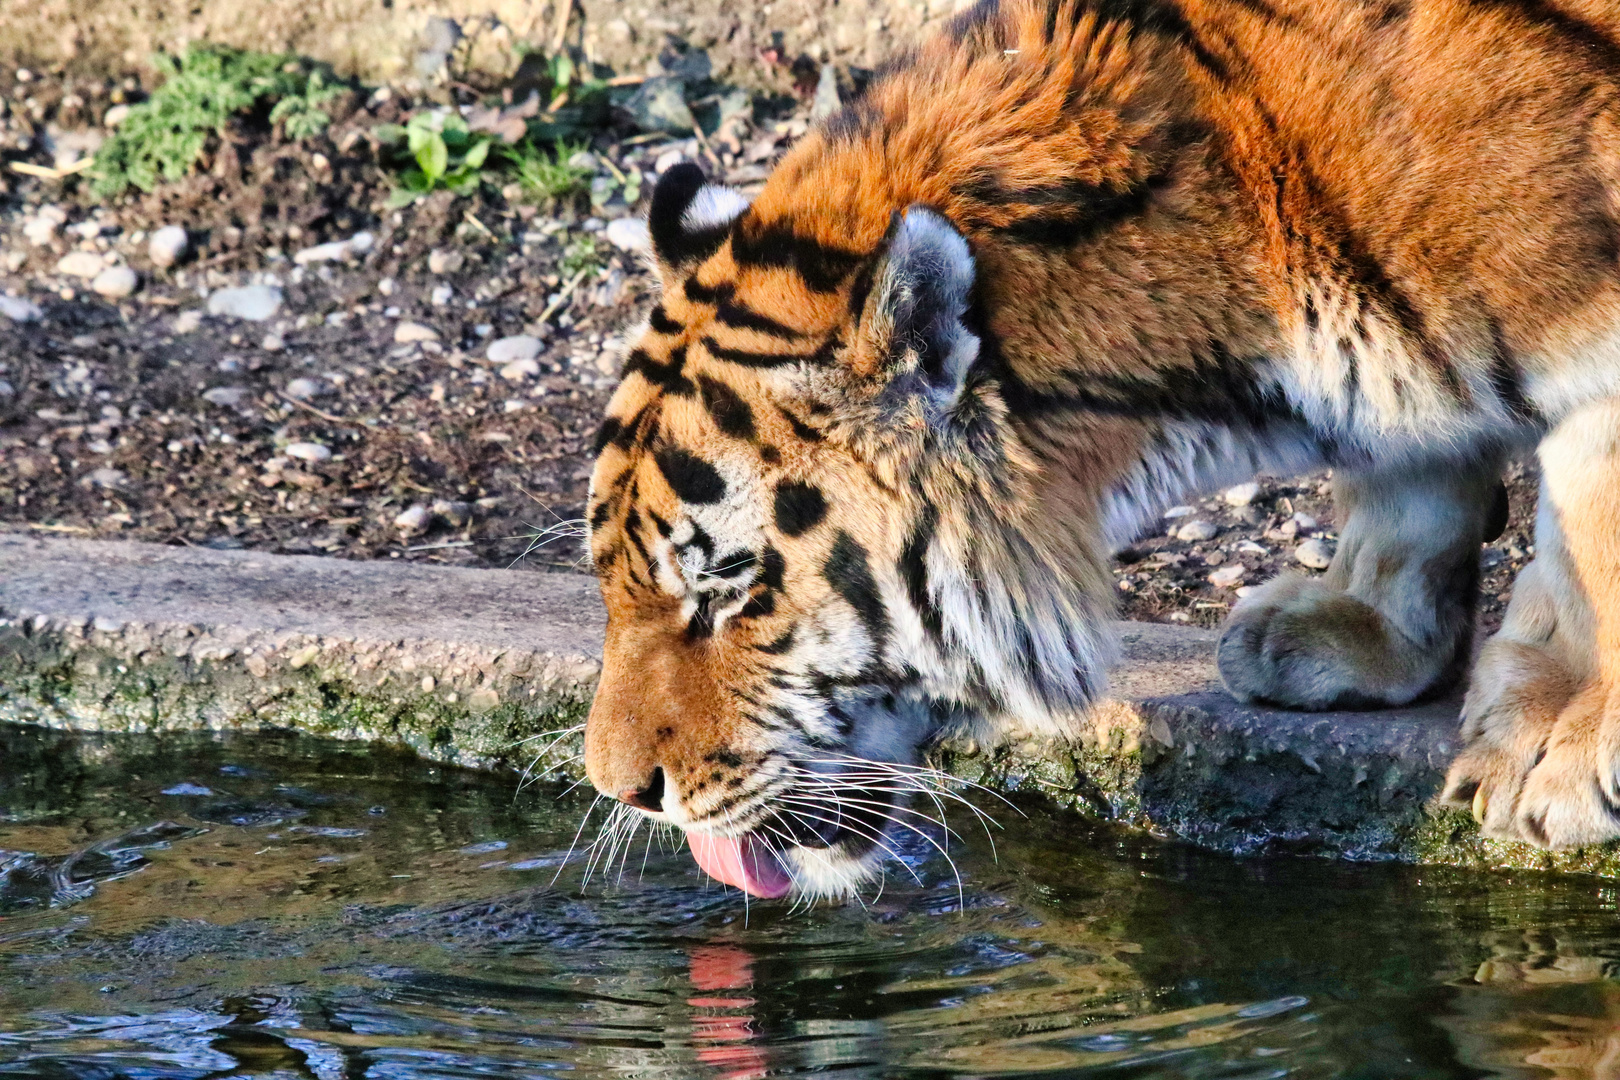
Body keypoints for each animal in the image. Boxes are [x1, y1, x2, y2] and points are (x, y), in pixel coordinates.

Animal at [583, 0, 1620, 900]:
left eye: (728, 589)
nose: (619, 792)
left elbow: (1591, 526)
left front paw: (1559, 751)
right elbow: (1410, 476)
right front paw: (1364, 629)